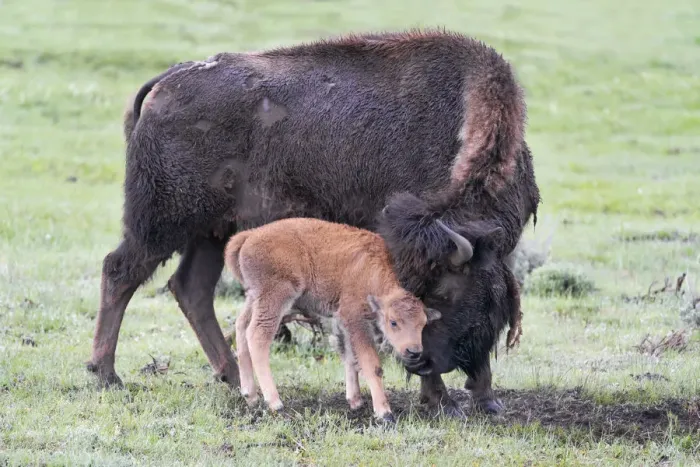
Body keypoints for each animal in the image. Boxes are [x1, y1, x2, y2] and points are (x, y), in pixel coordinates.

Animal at [225, 217, 441, 422]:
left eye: (423, 324)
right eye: (393, 322)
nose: (413, 351)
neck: (371, 271)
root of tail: (250, 235)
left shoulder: (343, 321)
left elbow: (350, 357)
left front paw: (355, 401)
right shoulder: (355, 319)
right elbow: (371, 364)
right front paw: (384, 412)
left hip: (254, 297)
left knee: (241, 326)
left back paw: (250, 395)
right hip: (275, 298)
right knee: (257, 336)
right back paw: (275, 403)